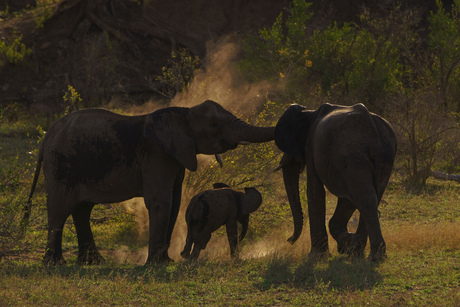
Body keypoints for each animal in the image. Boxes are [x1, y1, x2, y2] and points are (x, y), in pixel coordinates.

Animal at [25, 100, 274, 264]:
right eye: (214, 125)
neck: (183, 113)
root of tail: (46, 137)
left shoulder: (175, 156)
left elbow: (174, 202)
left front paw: (166, 261)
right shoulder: (157, 155)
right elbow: (161, 201)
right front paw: (156, 265)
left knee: (82, 209)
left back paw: (93, 262)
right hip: (61, 164)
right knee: (60, 208)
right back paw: (55, 264)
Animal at [274, 103, 396, 262]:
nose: (289, 240)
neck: (308, 112)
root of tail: (371, 127)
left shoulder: (311, 146)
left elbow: (314, 191)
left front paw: (317, 257)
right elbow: (346, 198)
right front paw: (347, 245)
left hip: (353, 155)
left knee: (364, 198)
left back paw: (373, 256)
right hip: (383, 156)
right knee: (370, 197)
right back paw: (361, 253)